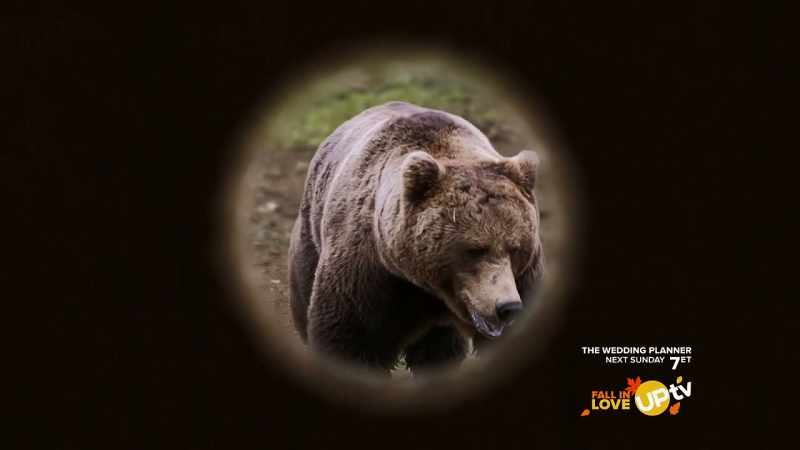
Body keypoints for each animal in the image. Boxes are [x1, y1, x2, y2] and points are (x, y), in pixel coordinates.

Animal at [288, 101, 544, 373]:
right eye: (475, 249)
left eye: (516, 248)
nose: (506, 307)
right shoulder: (367, 270)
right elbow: (352, 339)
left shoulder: (524, 278)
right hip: (310, 234)